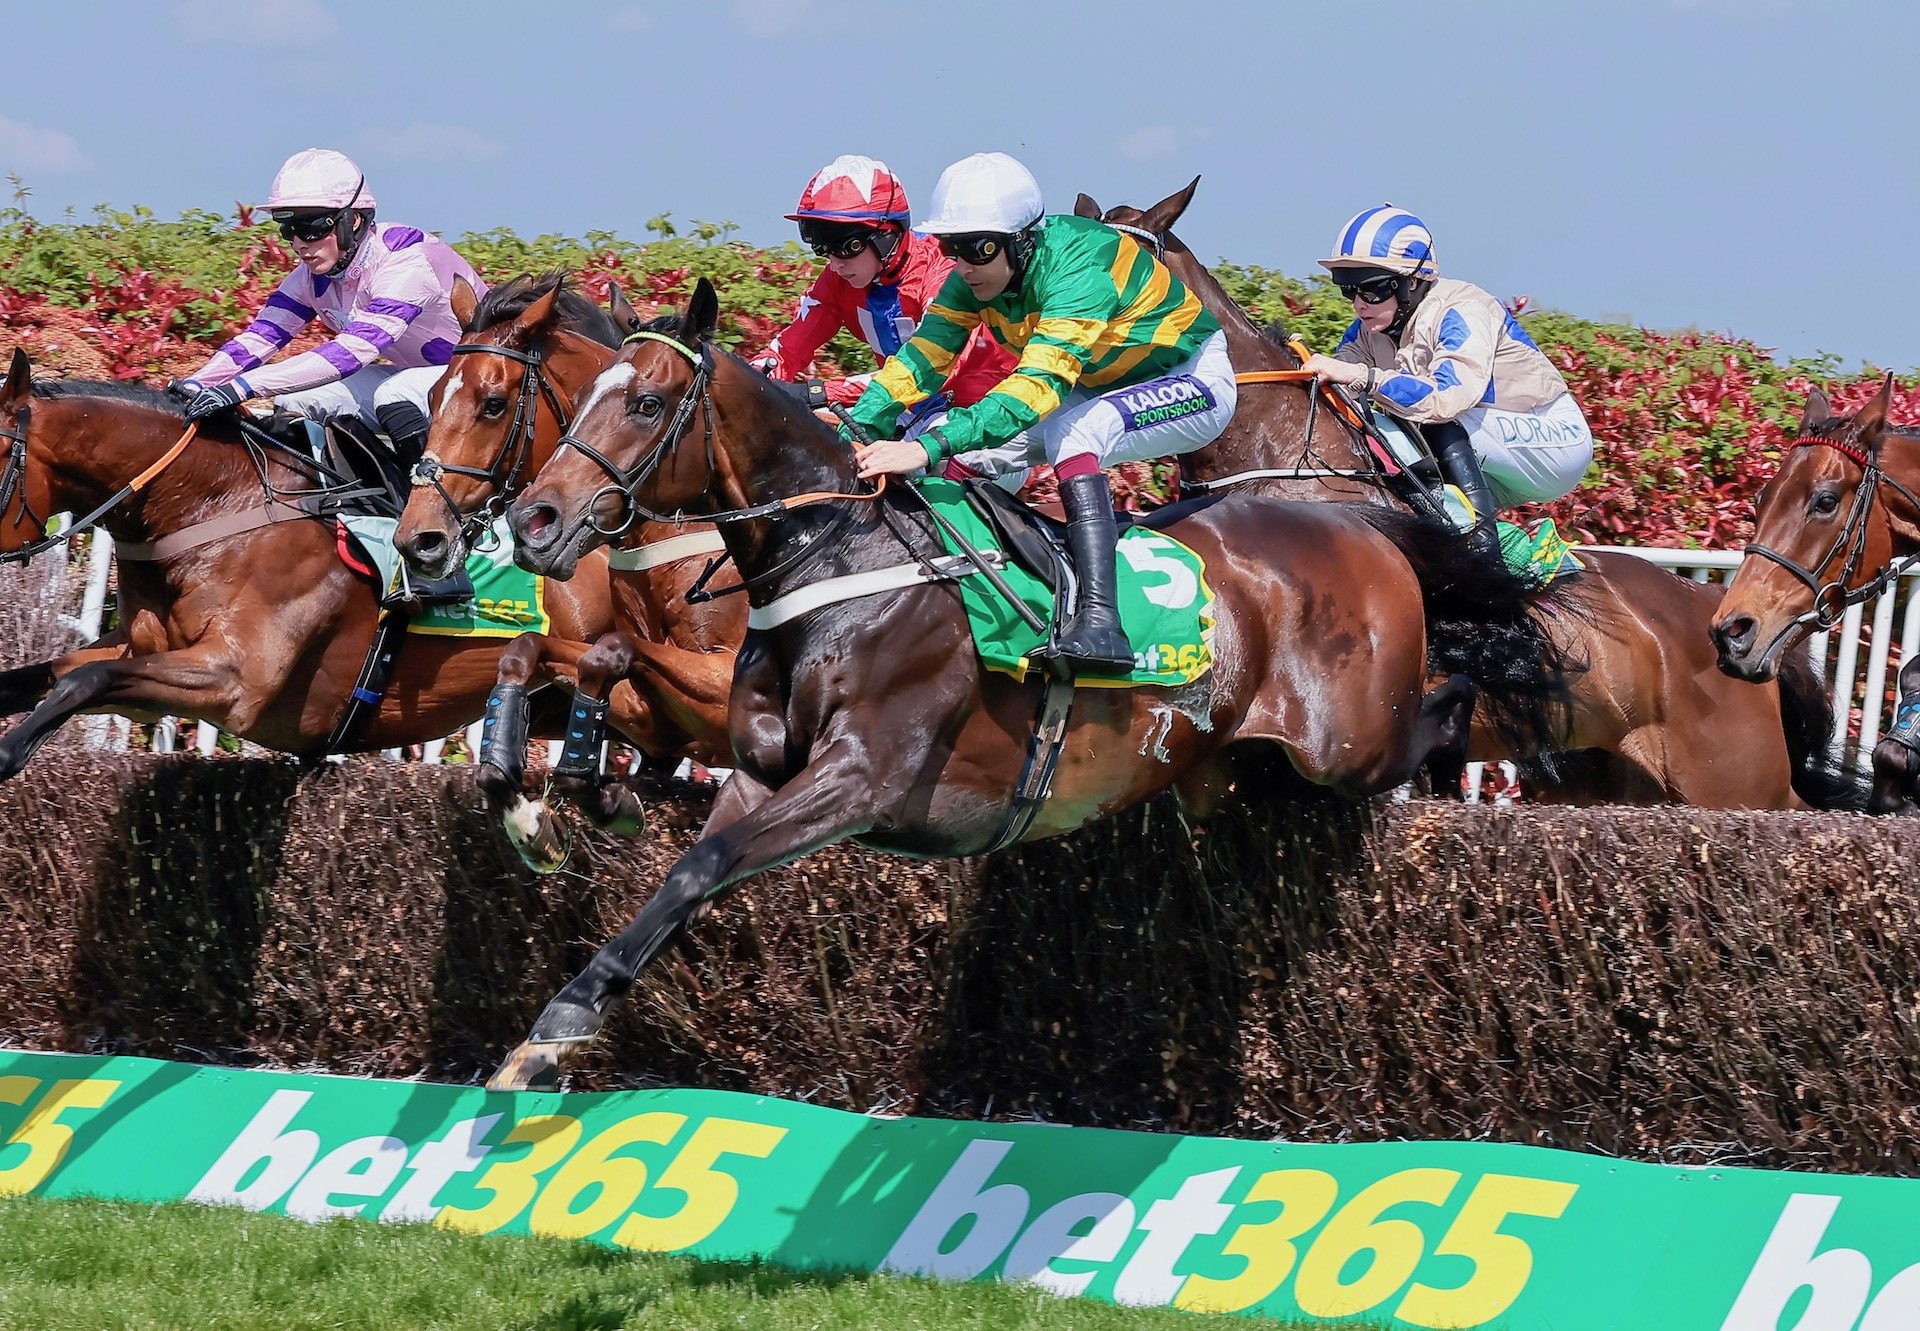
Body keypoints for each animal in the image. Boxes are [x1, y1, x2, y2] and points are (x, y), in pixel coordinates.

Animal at [0, 347, 645, 772]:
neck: (210, 506)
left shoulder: (234, 681)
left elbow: (83, 680)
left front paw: (11, 751)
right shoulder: (139, 649)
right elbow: (47, 675)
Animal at [480, 280, 1574, 1090]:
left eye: (648, 403)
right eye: (582, 396)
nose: (535, 521)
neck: (840, 553)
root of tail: (1358, 522)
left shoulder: (865, 775)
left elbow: (704, 862)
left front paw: (563, 1004)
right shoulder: (760, 769)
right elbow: (686, 872)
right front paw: (552, 1025)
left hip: (1352, 740)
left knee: (1446, 703)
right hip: (1233, 768)